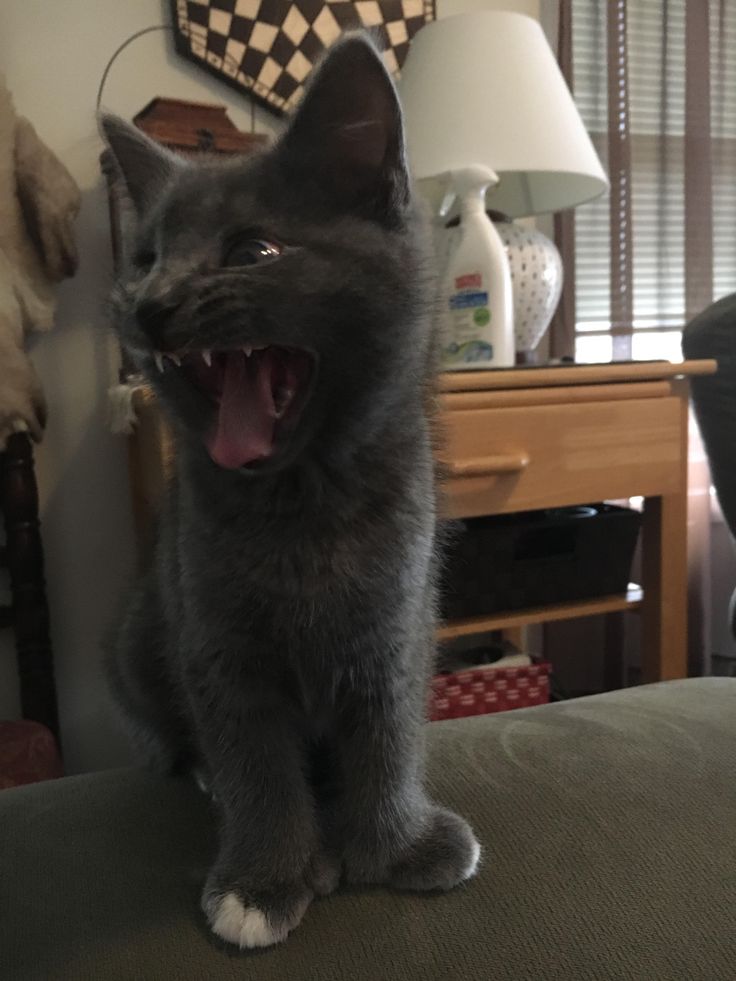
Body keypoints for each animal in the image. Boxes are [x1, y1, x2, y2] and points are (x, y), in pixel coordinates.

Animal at [103, 34, 484, 944]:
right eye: (146, 259)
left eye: (253, 253)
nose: (153, 303)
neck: (303, 505)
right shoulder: (215, 635)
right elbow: (254, 756)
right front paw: (264, 880)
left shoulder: (398, 616)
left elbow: (387, 732)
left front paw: (395, 846)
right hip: (136, 636)